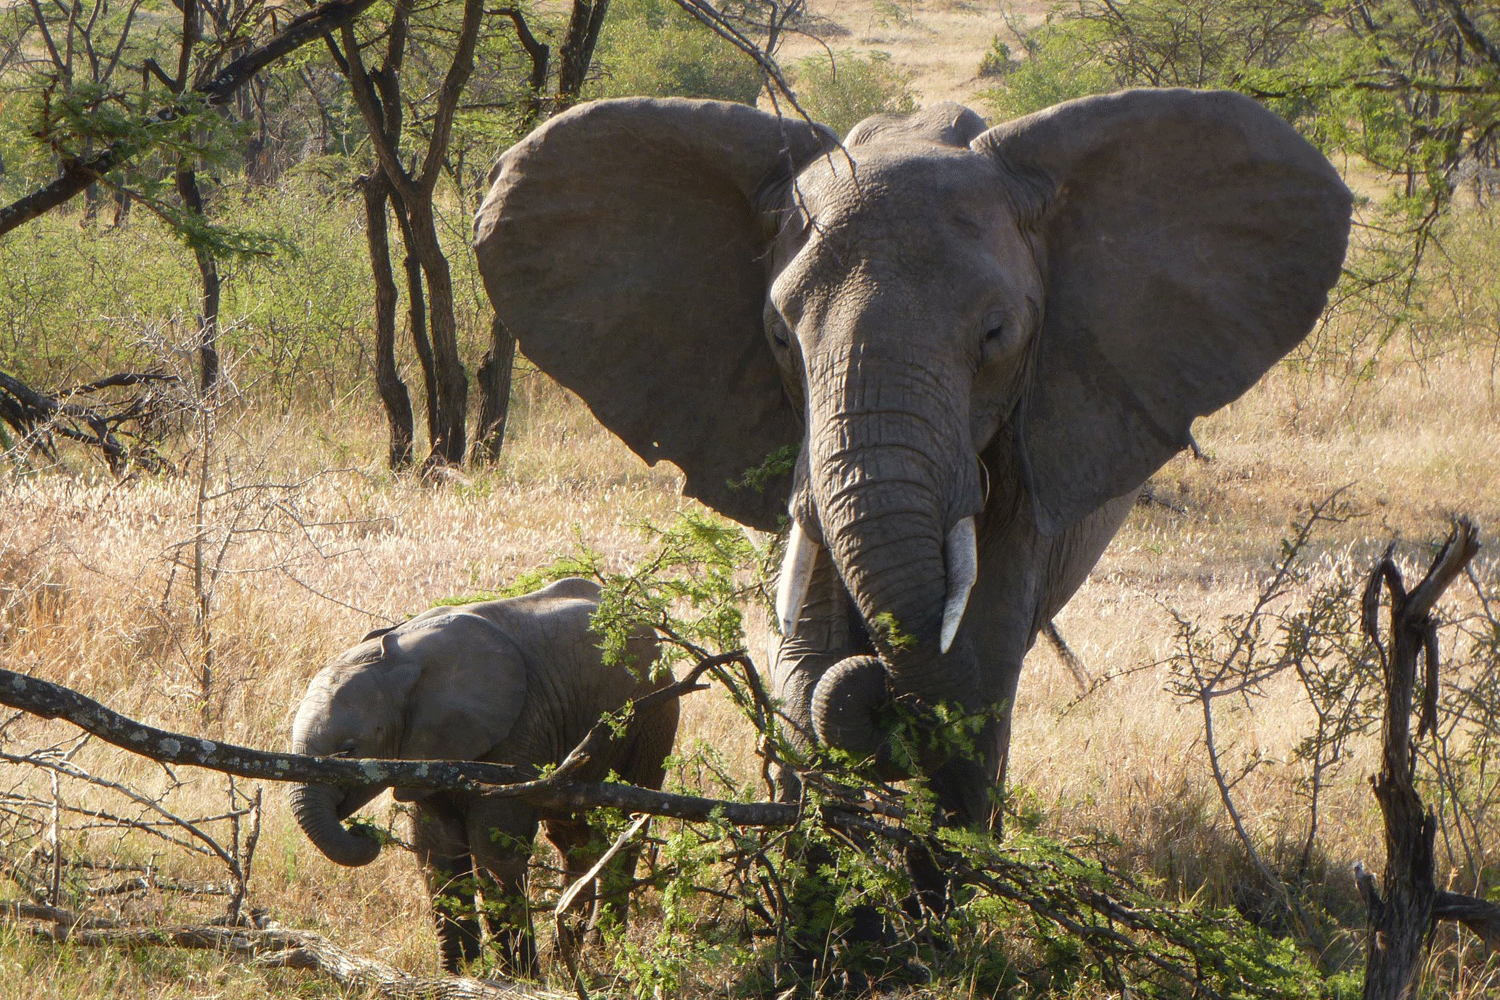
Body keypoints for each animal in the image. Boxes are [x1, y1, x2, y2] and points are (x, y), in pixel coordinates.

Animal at [286, 578, 675, 977]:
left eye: (349, 749)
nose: (363, 832)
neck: (400, 662)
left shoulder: (519, 728)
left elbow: (495, 851)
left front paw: (518, 979)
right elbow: (437, 853)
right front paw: (457, 976)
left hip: (652, 720)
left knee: (625, 832)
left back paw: (599, 957)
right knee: (573, 837)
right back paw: (566, 957)